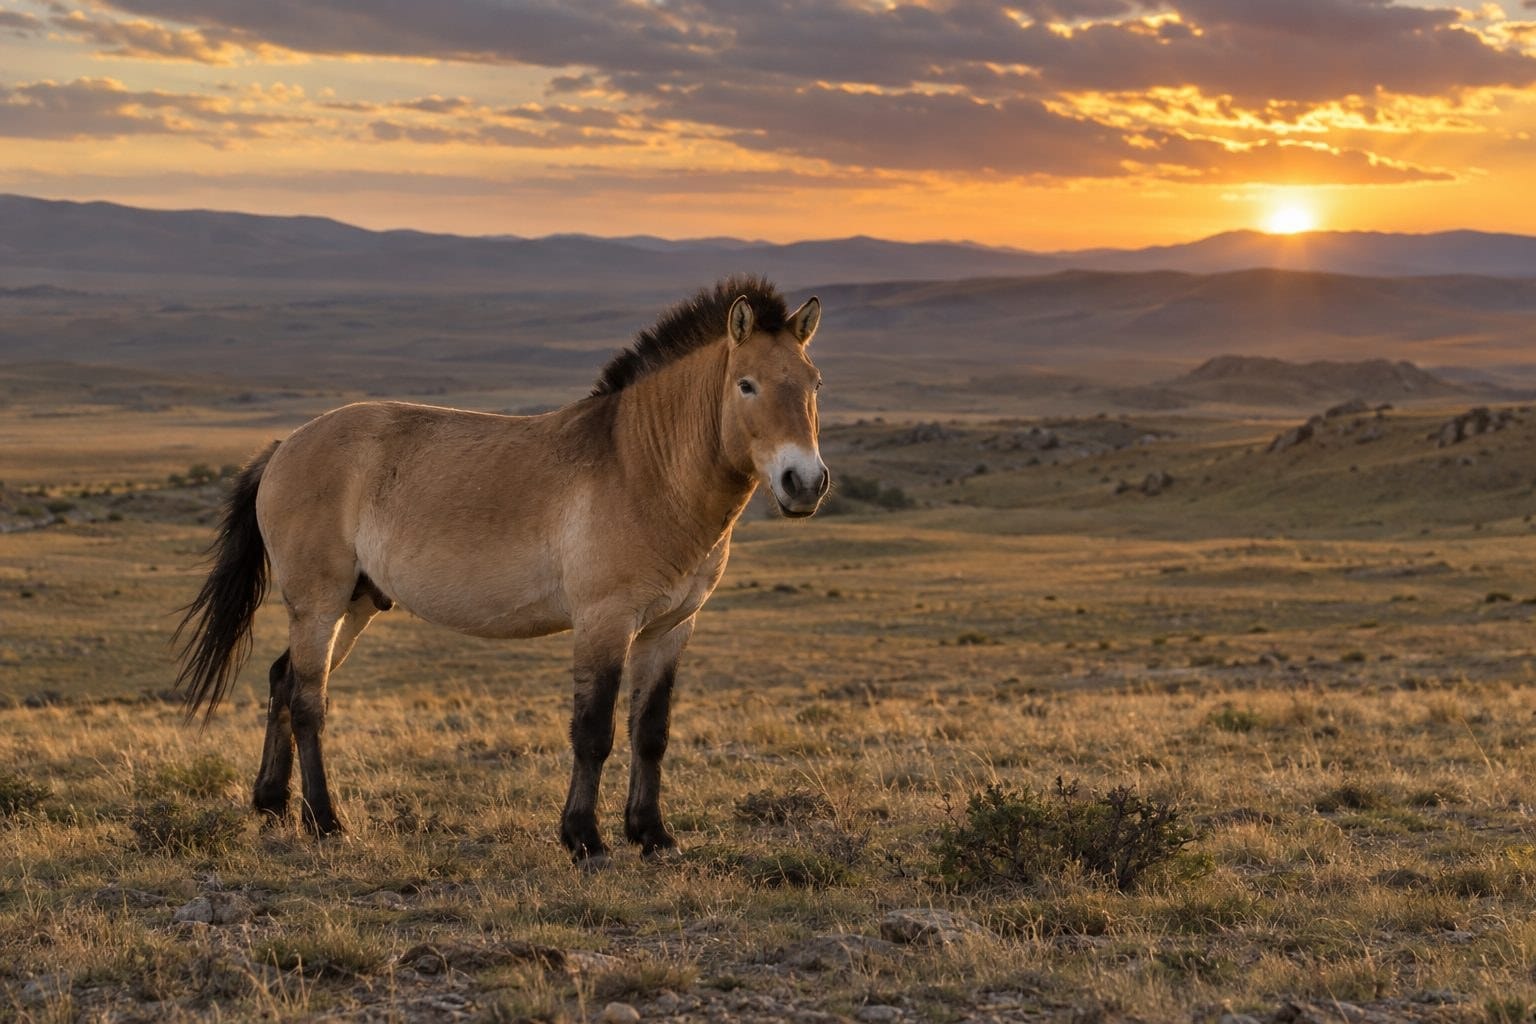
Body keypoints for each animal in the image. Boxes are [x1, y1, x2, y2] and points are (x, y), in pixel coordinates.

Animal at [173, 276, 828, 863]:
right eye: (746, 385)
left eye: (814, 383)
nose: (805, 482)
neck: (643, 468)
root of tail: (285, 446)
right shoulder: (604, 622)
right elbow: (594, 732)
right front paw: (585, 840)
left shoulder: (669, 629)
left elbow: (651, 733)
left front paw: (652, 835)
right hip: (319, 603)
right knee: (309, 701)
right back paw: (325, 822)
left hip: (355, 605)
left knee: (284, 680)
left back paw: (272, 805)